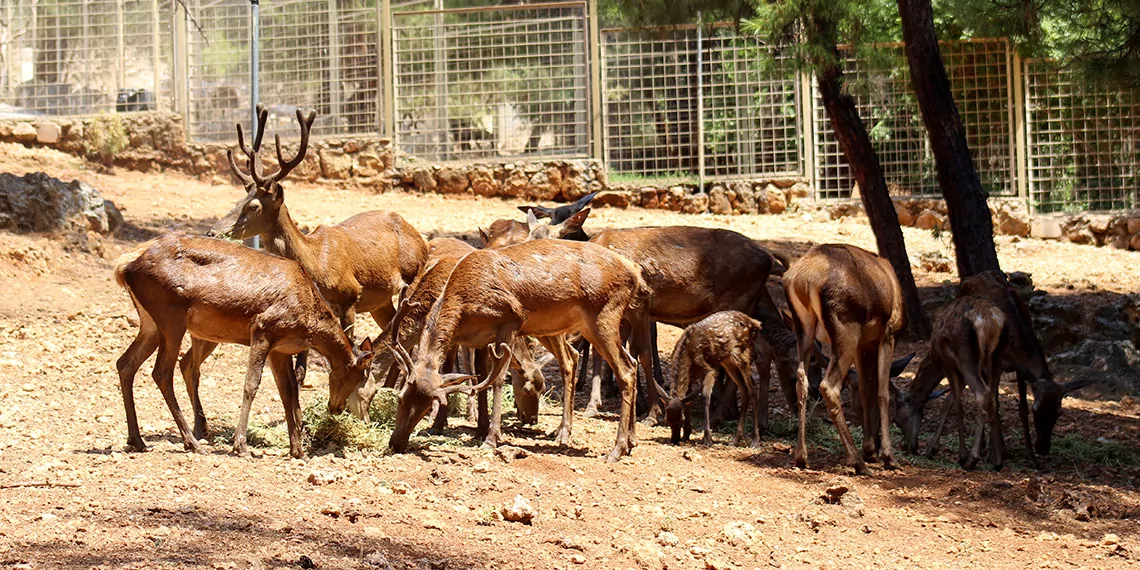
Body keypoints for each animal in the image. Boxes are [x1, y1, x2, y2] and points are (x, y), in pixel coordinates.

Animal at [114, 233, 373, 460]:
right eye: (359, 376)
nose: (337, 408)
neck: (311, 321)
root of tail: (123, 266)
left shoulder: (280, 349)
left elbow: (287, 391)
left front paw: (297, 450)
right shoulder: (262, 329)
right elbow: (251, 385)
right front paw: (241, 445)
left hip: (150, 322)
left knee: (126, 363)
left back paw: (137, 440)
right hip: (171, 317)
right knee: (161, 371)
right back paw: (193, 443)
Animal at [656, 310, 770, 446]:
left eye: (682, 420)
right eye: (666, 420)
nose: (674, 440)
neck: (688, 356)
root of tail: (754, 323)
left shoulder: (709, 369)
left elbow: (705, 397)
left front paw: (707, 438)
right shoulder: (691, 376)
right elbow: (688, 401)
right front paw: (686, 436)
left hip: (742, 356)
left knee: (752, 390)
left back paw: (755, 440)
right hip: (728, 361)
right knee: (744, 389)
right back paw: (735, 439)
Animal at [784, 242, 907, 474]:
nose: (875, 445)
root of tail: (803, 280)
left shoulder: (863, 344)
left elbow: (867, 389)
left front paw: (871, 450)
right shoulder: (889, 333)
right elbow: (882, 392)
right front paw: (888, 456)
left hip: (804, 327)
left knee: (801, 380)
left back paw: (801, 457)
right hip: (845, 327)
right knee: (829, 386)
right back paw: (857, 462)